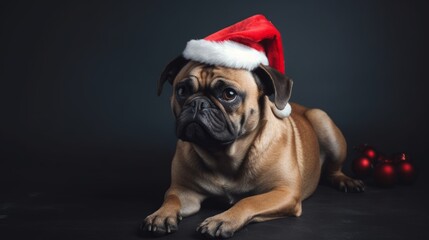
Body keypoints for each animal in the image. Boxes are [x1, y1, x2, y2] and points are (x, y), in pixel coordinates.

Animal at [141, 56, 364, 238]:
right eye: (182, 91)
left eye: (229, 94)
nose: (198, 103)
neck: (223, 155)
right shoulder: (184, 191)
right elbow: (171, 199)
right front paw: (161, 214)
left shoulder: (284, 193)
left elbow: (249, 201)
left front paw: (222, 219)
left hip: (323, 122)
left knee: (334, 169)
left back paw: (346, 181)